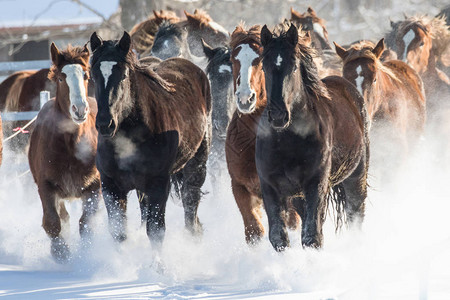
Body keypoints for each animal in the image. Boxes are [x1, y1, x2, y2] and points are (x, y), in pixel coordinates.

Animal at [28, 42, 100, 262]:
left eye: (85, 75)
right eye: (62, 77)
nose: (80, 110)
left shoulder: (95, 186)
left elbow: (87, 223)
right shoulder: (46, 186)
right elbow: (52, 222)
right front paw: (61, 253)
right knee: (63, 216)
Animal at [90, 31, 214, 251]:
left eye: (123, 75)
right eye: (94, 75)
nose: (105, 123)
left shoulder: (158, 184)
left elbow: (156, 231)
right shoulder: (111, 186)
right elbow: (119, 233)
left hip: (196, 164)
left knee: (190, 206)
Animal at [256, 23, 370, 251]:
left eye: (293, 66)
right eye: (264, 66)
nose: (279, 115)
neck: (288, 141)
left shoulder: (315, 184)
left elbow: (312, 237)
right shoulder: (271, 187)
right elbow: (278, 237)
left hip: (356, 175)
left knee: (356, 211)